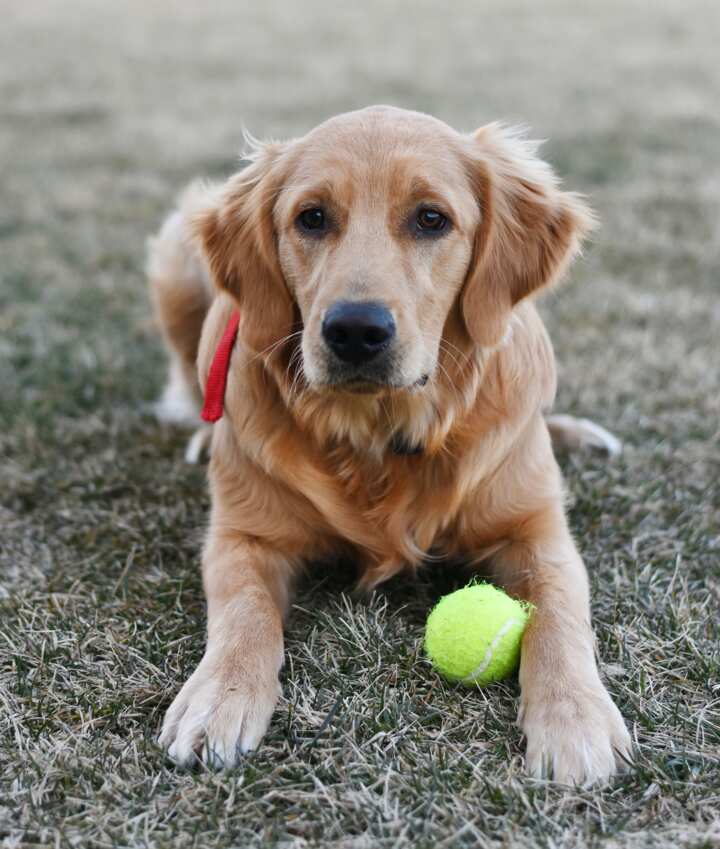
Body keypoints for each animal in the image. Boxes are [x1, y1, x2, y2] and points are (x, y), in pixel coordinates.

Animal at [146, 104, 632, 780]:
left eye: (431, 219)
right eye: (312, 217)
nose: (355, 330)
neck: (377, 434)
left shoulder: (537, 532)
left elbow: (560, 616)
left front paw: (576, 718)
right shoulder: (244, 535)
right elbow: (245, 611)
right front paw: (217, 695)